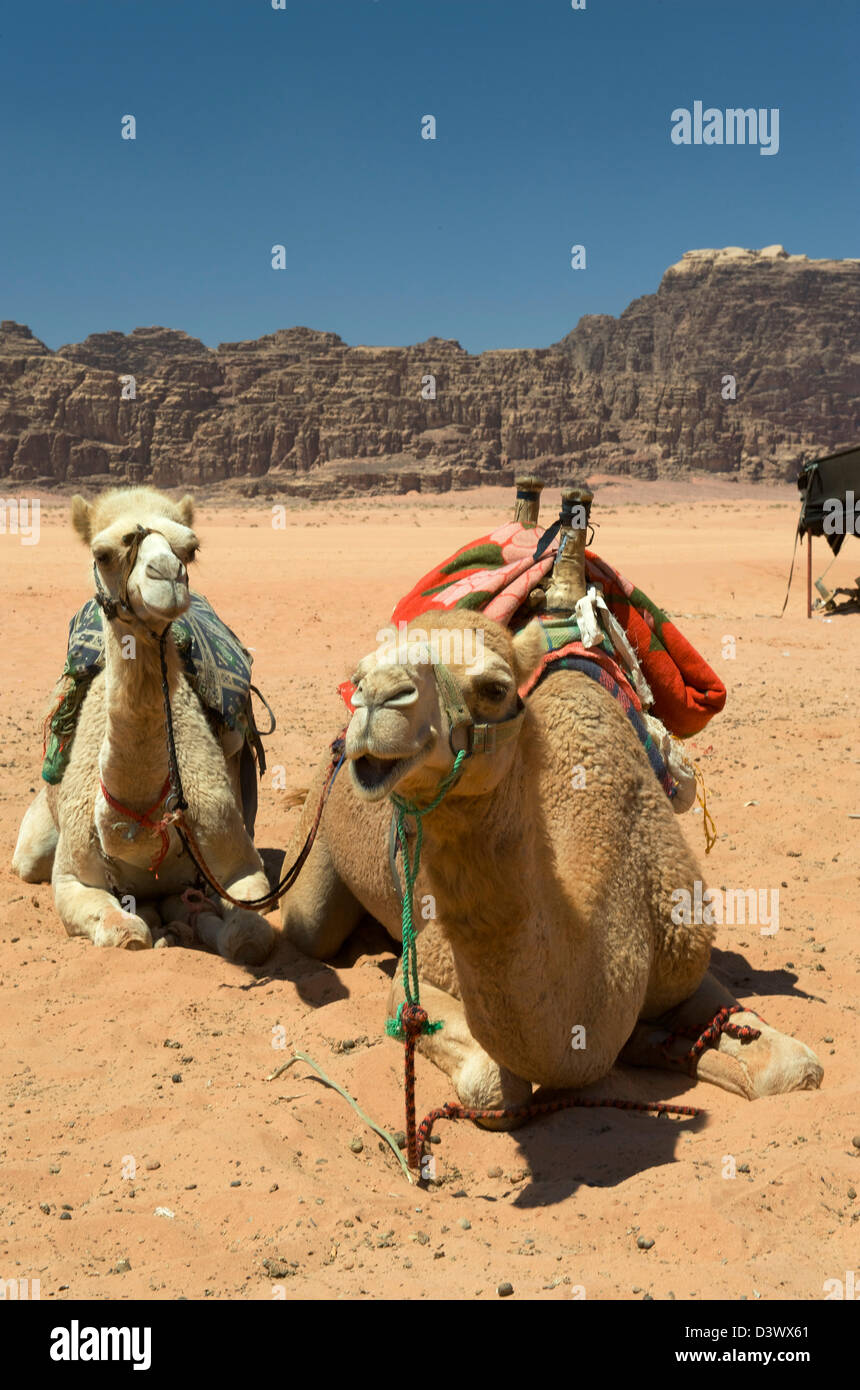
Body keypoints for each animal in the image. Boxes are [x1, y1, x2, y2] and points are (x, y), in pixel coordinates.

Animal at [12, 483, 276, 961]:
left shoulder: (242, 866)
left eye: (190, 549)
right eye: (102, 553)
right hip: (34, 846)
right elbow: (126, 932)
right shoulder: (72, 878)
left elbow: (248, 936)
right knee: (28, 861)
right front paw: (154, 925)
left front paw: (196, 923)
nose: (167, 576)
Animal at [282, 608, 822, 1117]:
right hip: (315, 849)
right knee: (309, 929)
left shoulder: (681, 956)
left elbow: (793, 1067)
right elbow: (493, 1083)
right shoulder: (420, 977)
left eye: (495, 688)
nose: (375, 698)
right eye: (357, 678)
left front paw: (671, 1046)